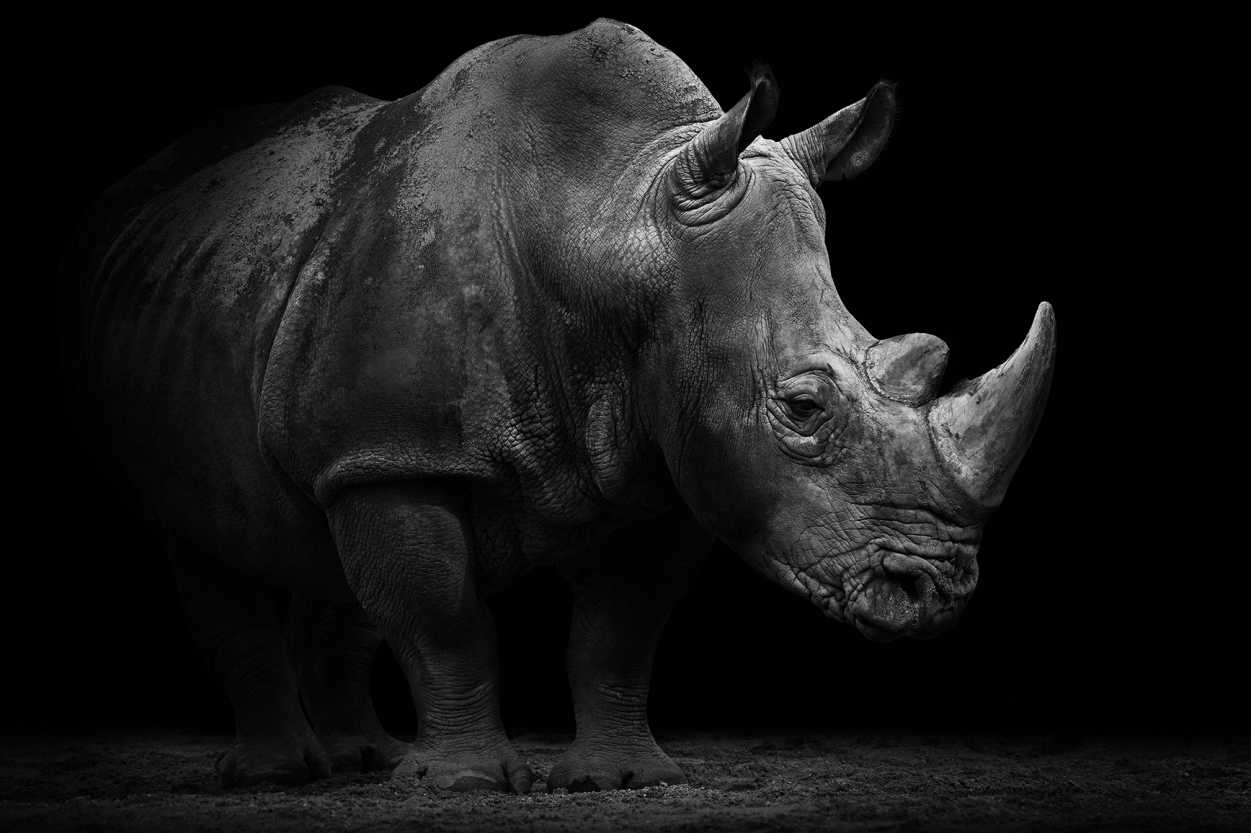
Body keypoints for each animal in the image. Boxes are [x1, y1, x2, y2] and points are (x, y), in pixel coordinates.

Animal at [75, 18, 1054, 792]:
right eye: (805, 407)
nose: (935, 590)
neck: (610, 220)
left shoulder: (670, 459)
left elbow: (617, 633)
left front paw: (619, 778)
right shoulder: (397, 448)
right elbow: (439, 615)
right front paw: (464, 785)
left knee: (325, 550)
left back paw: (363, 761)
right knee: (208, 546)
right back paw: (281, 775)